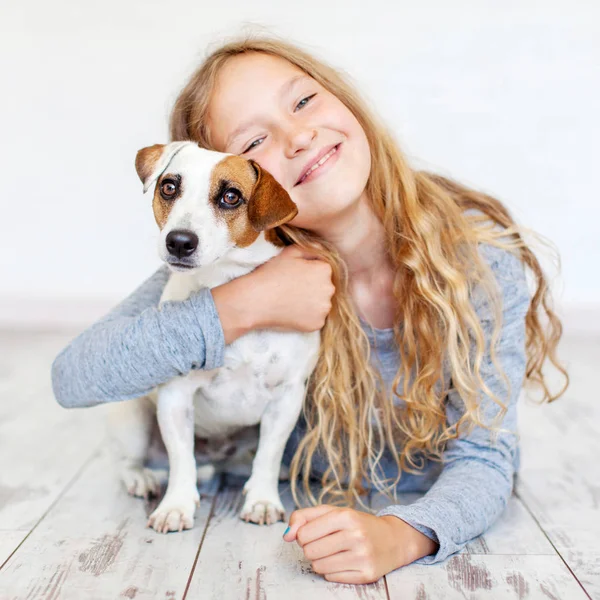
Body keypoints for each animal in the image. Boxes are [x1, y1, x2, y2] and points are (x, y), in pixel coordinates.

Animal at [108, 142, 324, 536]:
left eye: (230, 196)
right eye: (169, 187)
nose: (179, 241)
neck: (227, 280)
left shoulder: (286, 398)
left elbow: (268, 456)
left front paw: (263, 500)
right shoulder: (175, 398)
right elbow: (182, 459)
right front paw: (176, 506)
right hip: (133, 417)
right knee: (131, 461)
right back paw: (141, 478)